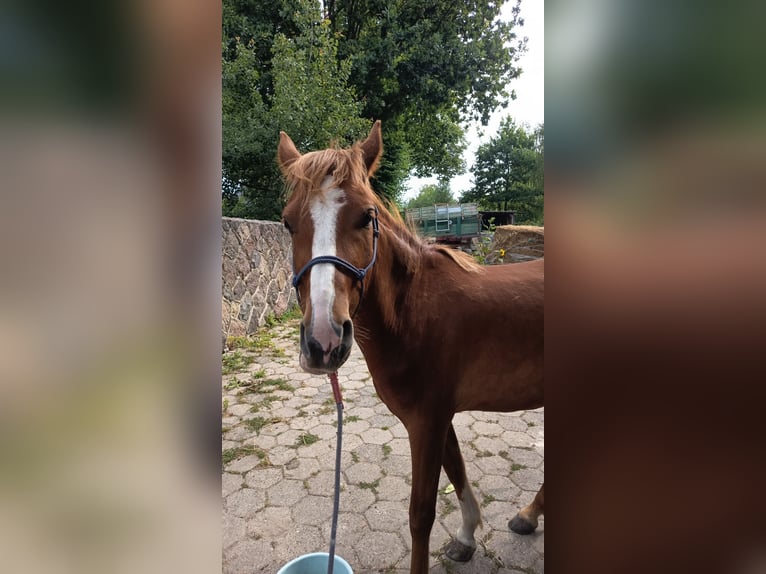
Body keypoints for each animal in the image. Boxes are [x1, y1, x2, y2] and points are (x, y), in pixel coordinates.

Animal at [277, 121, 544, 574]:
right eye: (288, 223)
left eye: (366, 216)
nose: (324, 341)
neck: (414, 311)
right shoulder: (438, 418)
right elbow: (457, 470)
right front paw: (466, 537)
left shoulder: (427, 420)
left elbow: (421, 514)